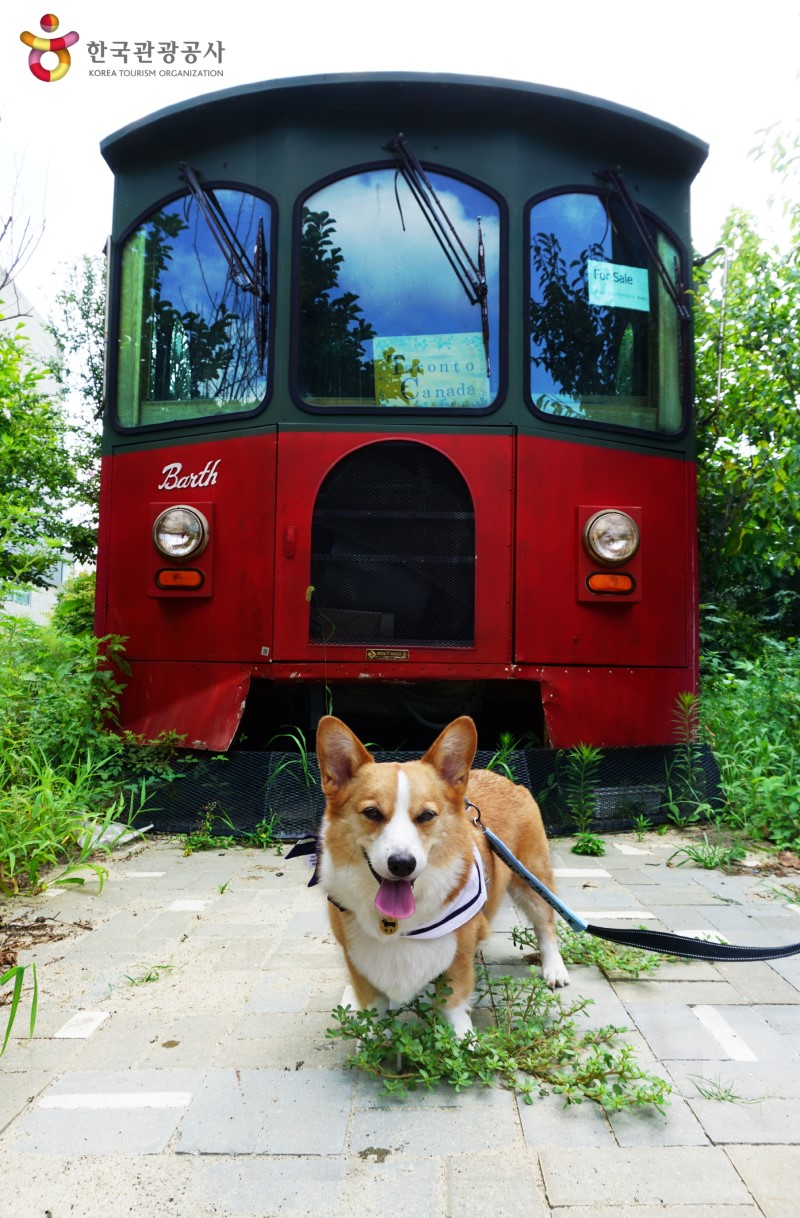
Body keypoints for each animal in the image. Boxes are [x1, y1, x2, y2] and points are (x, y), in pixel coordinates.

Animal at [314, 711, 567, 1037]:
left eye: (426, 816)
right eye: (371, 813)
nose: (402, 864)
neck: (396, 926)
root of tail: (505, 779)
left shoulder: (457, 955)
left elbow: (452, 1002)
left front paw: (462, 1039)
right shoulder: (357, 958)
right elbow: (375, 1009)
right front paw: (374, 1040)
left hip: (531, 879)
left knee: (545, 923)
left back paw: (554, 969)